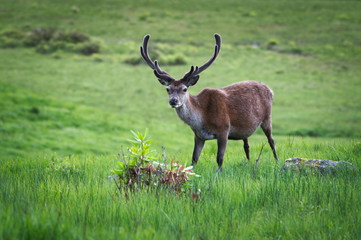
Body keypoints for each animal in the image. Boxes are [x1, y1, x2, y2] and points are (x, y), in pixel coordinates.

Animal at [139, 33, 278, 170]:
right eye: (168, 89)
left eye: (184, 89)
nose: (173, 101)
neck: (202, 118)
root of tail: (270, 89)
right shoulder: (199, 135)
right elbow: (194, 159)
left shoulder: (224, 130)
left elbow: (219, 159)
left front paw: (219, 174)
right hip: (246, 130)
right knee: (246, 145)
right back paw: (249, 163)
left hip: (267, 117)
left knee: (271, 140)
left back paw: (277, 162)